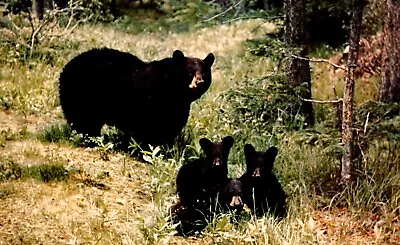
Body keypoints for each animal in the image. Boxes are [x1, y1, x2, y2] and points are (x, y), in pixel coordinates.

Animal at [58, 48, 214, 146]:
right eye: (189, 72)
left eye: (205, 73)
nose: (199, 82)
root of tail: (68, 64)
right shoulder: (151, 100)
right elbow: (150, 127)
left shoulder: (177, 108)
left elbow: (170, 126)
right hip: (82, 94)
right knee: (83, 119)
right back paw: (90, 138)